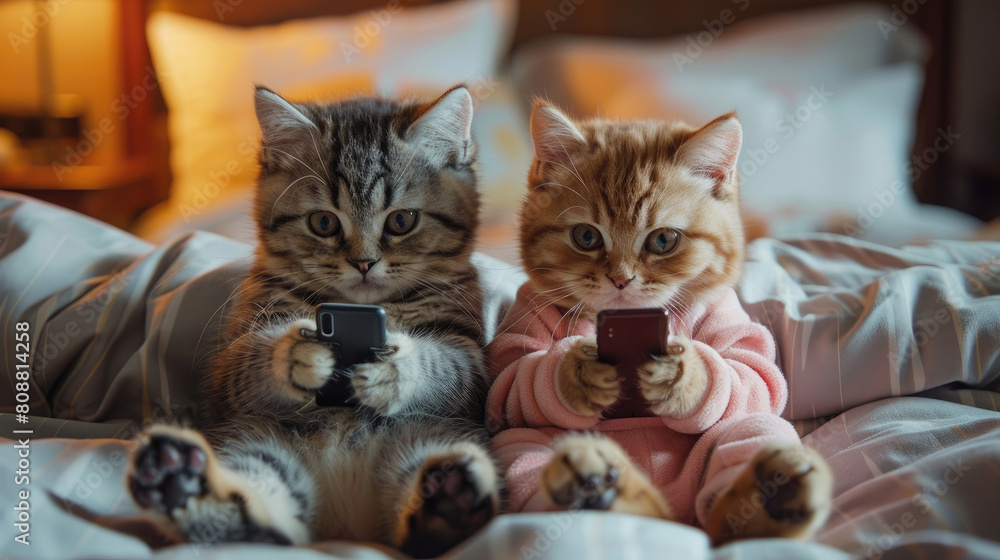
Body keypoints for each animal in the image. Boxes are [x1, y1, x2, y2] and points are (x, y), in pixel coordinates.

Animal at [126, 85, 500, 556]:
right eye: (323, 222)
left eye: (401, 220)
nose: (363, 263)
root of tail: (348, 522)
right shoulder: (232, 364)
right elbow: (250, 363)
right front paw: (299, 354)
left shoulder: (470, 361)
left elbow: (445, 365)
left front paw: (393, 369)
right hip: (252, 441)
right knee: (260, 516)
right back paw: (182, 489)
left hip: (438, 434)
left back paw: (449, 505)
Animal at [486, 103, 836, 544]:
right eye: (586, 237)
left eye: (663, 241)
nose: (620, 280)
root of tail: (676, 517)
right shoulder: (519, 329)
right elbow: (513, 377)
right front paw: (576, 373)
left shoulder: (731, 320)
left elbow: (754, 374)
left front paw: (682, 376)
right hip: (520, 447)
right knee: (526, 452)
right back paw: (601, 487)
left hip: (751, 436)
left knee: (747, 440)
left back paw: (774, 500)